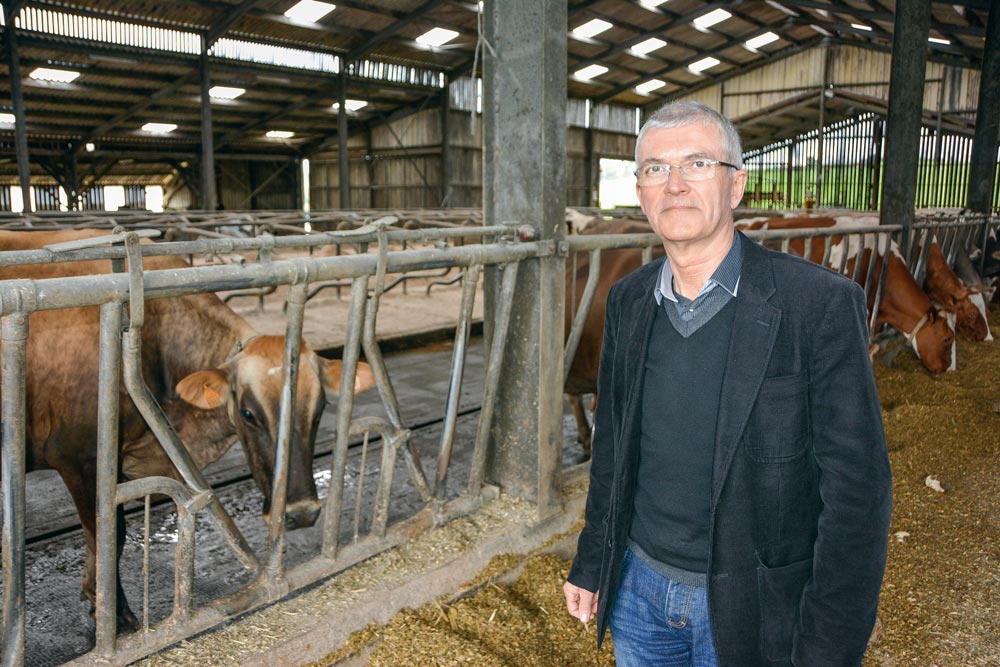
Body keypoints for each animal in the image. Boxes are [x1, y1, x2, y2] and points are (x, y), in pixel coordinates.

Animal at [0, 230, 376, 632]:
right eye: (248, 414)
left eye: (320, 410)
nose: (302, 512)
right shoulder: (81, 460)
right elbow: (108, 536)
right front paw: (115, 617)